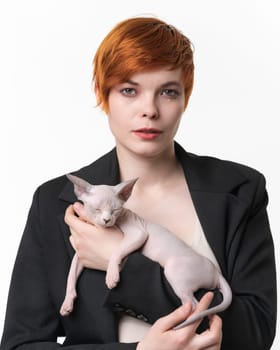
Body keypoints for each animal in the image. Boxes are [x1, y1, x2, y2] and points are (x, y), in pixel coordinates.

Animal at [61, 174, 232, 328]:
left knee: (195, 305)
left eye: (115, 210)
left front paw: (111, 276)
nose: (107, 220)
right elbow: (71, 273)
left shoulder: (138, 233)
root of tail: (216, 272)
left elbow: (116, 251)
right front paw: (67, 303)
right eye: (96, 209)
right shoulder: (81, 253)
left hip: (174, 269)